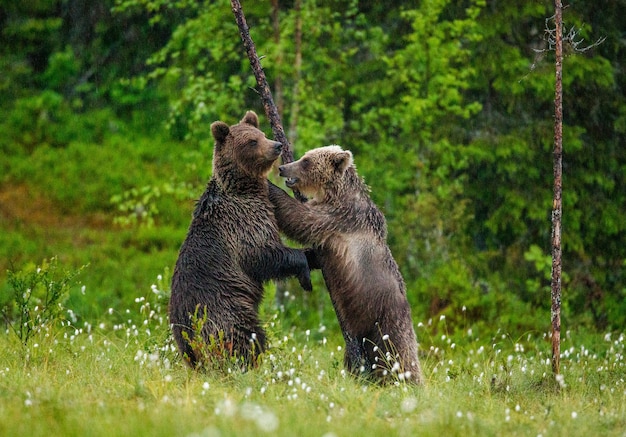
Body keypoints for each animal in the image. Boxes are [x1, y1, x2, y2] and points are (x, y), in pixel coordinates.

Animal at [266, 145, 422, 384]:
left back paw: (409, 381)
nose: (283, 168)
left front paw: (268, 186)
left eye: (306, 161)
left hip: (386, 318)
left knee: (397, 352)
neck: (334, 192)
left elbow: (300, 218)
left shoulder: (339, 216)